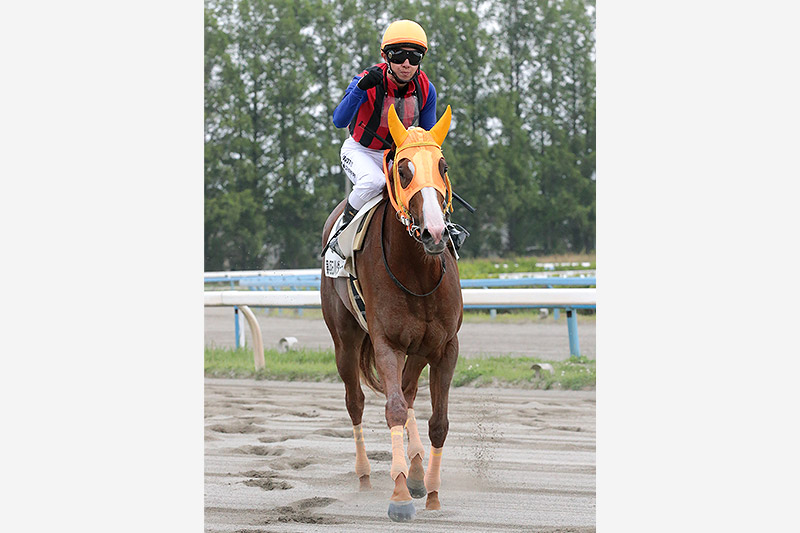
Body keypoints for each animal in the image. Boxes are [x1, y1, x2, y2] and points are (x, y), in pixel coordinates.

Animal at [320, 104, 463, 522]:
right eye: (403, 169)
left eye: (443, 166)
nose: (435, 232)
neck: (419, 272)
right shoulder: (387, 342)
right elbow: (394, 408)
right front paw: (399, 496)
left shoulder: (445, 346)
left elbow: (437, 421)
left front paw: (430, 492)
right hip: (346, 340)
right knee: (356, 401)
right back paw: (366, 474)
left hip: (417, 349)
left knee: (411, 391)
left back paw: (416, 471)